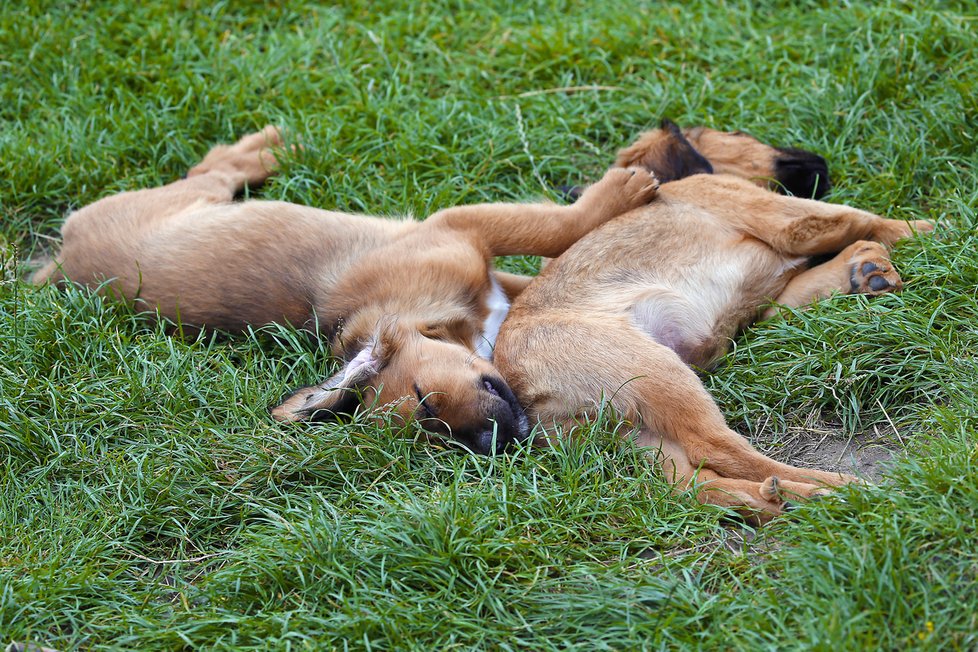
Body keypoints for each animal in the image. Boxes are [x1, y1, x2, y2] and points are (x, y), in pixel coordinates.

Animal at [32, 126, 656, 454]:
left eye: (426, 399)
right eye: (434, 429)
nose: (491, 443)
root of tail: (60, 259)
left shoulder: (463, 229)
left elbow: (554, 231)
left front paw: (619, 198)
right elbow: (551, 245)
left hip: (180, 202)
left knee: (209, 171)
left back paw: (261, 148)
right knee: (207, 172)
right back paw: (262, 149)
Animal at [496, 121, 932, 520]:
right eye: (738, 134)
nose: (822, 161)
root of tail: (518, 386)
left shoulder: (774, 301)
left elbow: (846, 253)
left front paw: (867, 269)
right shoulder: (789, 221)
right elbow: (864, 220)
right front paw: (932, 229)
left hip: (636, 428)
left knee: (693, 483)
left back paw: (782, 499)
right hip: (654, 370)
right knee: (717, 447)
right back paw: (836, 489)